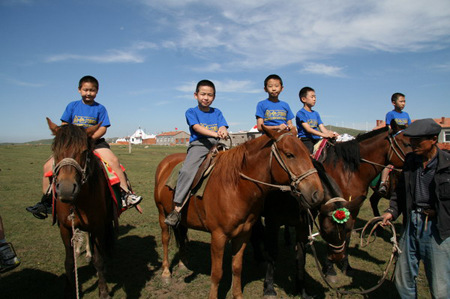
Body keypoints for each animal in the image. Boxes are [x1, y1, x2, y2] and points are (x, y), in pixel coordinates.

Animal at [47, 118, 117, 298]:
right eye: (54, 149)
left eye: (84, 151)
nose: (66, 190)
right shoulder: (65, 228)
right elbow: (69, 261)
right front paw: (68, 290)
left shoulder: (98, 226)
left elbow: (99, 260)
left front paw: (103, 291)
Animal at [155, 126, 324, 299]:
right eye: (290, 154)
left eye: (308, 153)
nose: (317, 194)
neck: (235, 187)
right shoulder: (218, 236)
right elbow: (217, 273)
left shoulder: (243, 234)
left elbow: (237, 268)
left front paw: (237, 295)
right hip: (162, 214)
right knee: (165, 239)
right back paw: (166, 273)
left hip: (183, 221)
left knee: (181, 236)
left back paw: (183, 263)